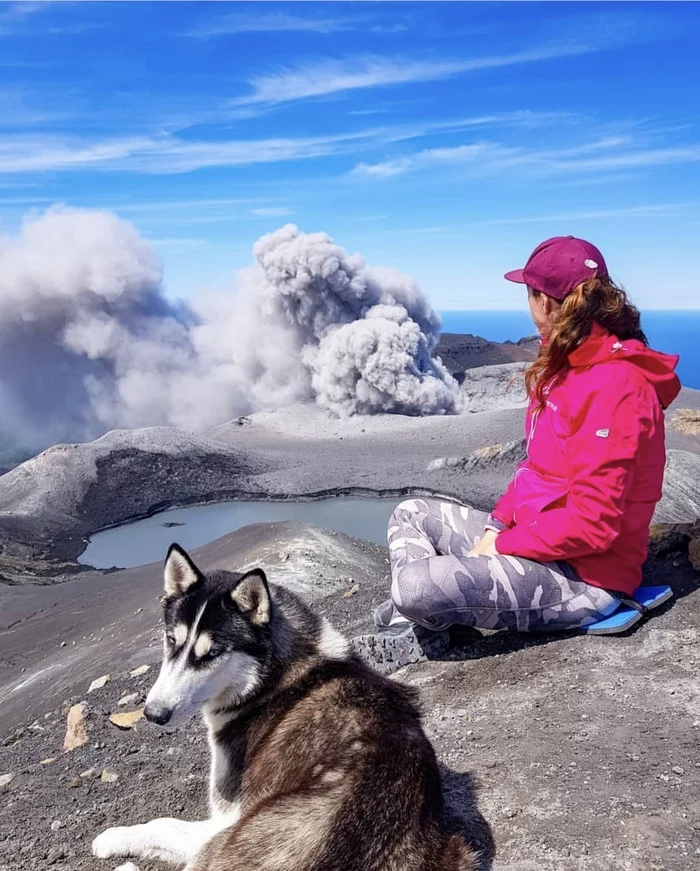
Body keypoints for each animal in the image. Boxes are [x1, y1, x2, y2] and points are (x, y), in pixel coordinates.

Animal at [91, 544, 476, 871]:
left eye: (211, 654)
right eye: (172, 640)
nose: (153, 715)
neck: (270, 679)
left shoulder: (225, 819)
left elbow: (164, 823)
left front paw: (113, 837)